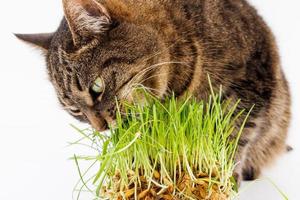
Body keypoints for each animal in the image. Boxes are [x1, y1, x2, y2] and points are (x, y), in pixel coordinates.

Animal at [15, 0, 290, 184]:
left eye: (96, 88)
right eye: (74, 110)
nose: (100, 128)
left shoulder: (249, 88)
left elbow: (231, 139)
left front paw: (224, 178)